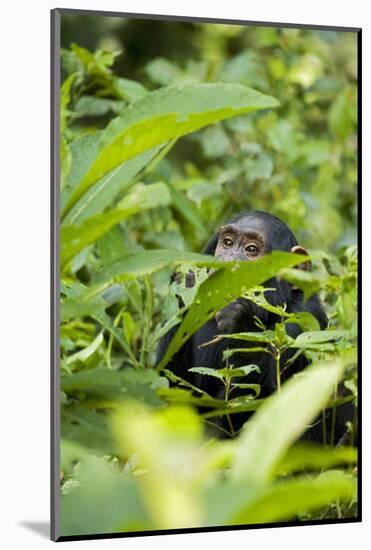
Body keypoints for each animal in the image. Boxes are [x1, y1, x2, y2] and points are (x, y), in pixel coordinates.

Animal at [158, 211, 356, 444]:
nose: (229, 261)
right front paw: (188, 282)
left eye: (251, 249)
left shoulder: (302, 328)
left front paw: (238, 317)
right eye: (227, 243)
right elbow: (175, 391)